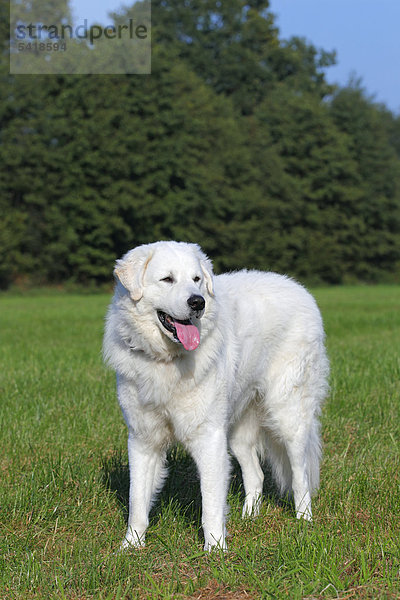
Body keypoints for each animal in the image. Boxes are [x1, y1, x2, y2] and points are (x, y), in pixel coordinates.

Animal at [102, 241, 328, 552]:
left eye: (196, 279)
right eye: (167, 279)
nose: (198, 302)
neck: (167, 362)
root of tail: (298, 288)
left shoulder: (208, 437)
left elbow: (210, 501)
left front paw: (216, 550)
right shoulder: (143, 439)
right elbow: (138, 499)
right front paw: (131, 546)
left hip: (288, 416)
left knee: (300, 474)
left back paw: (304, 522)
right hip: (236, 430)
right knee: (256, 474)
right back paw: (249, 518)